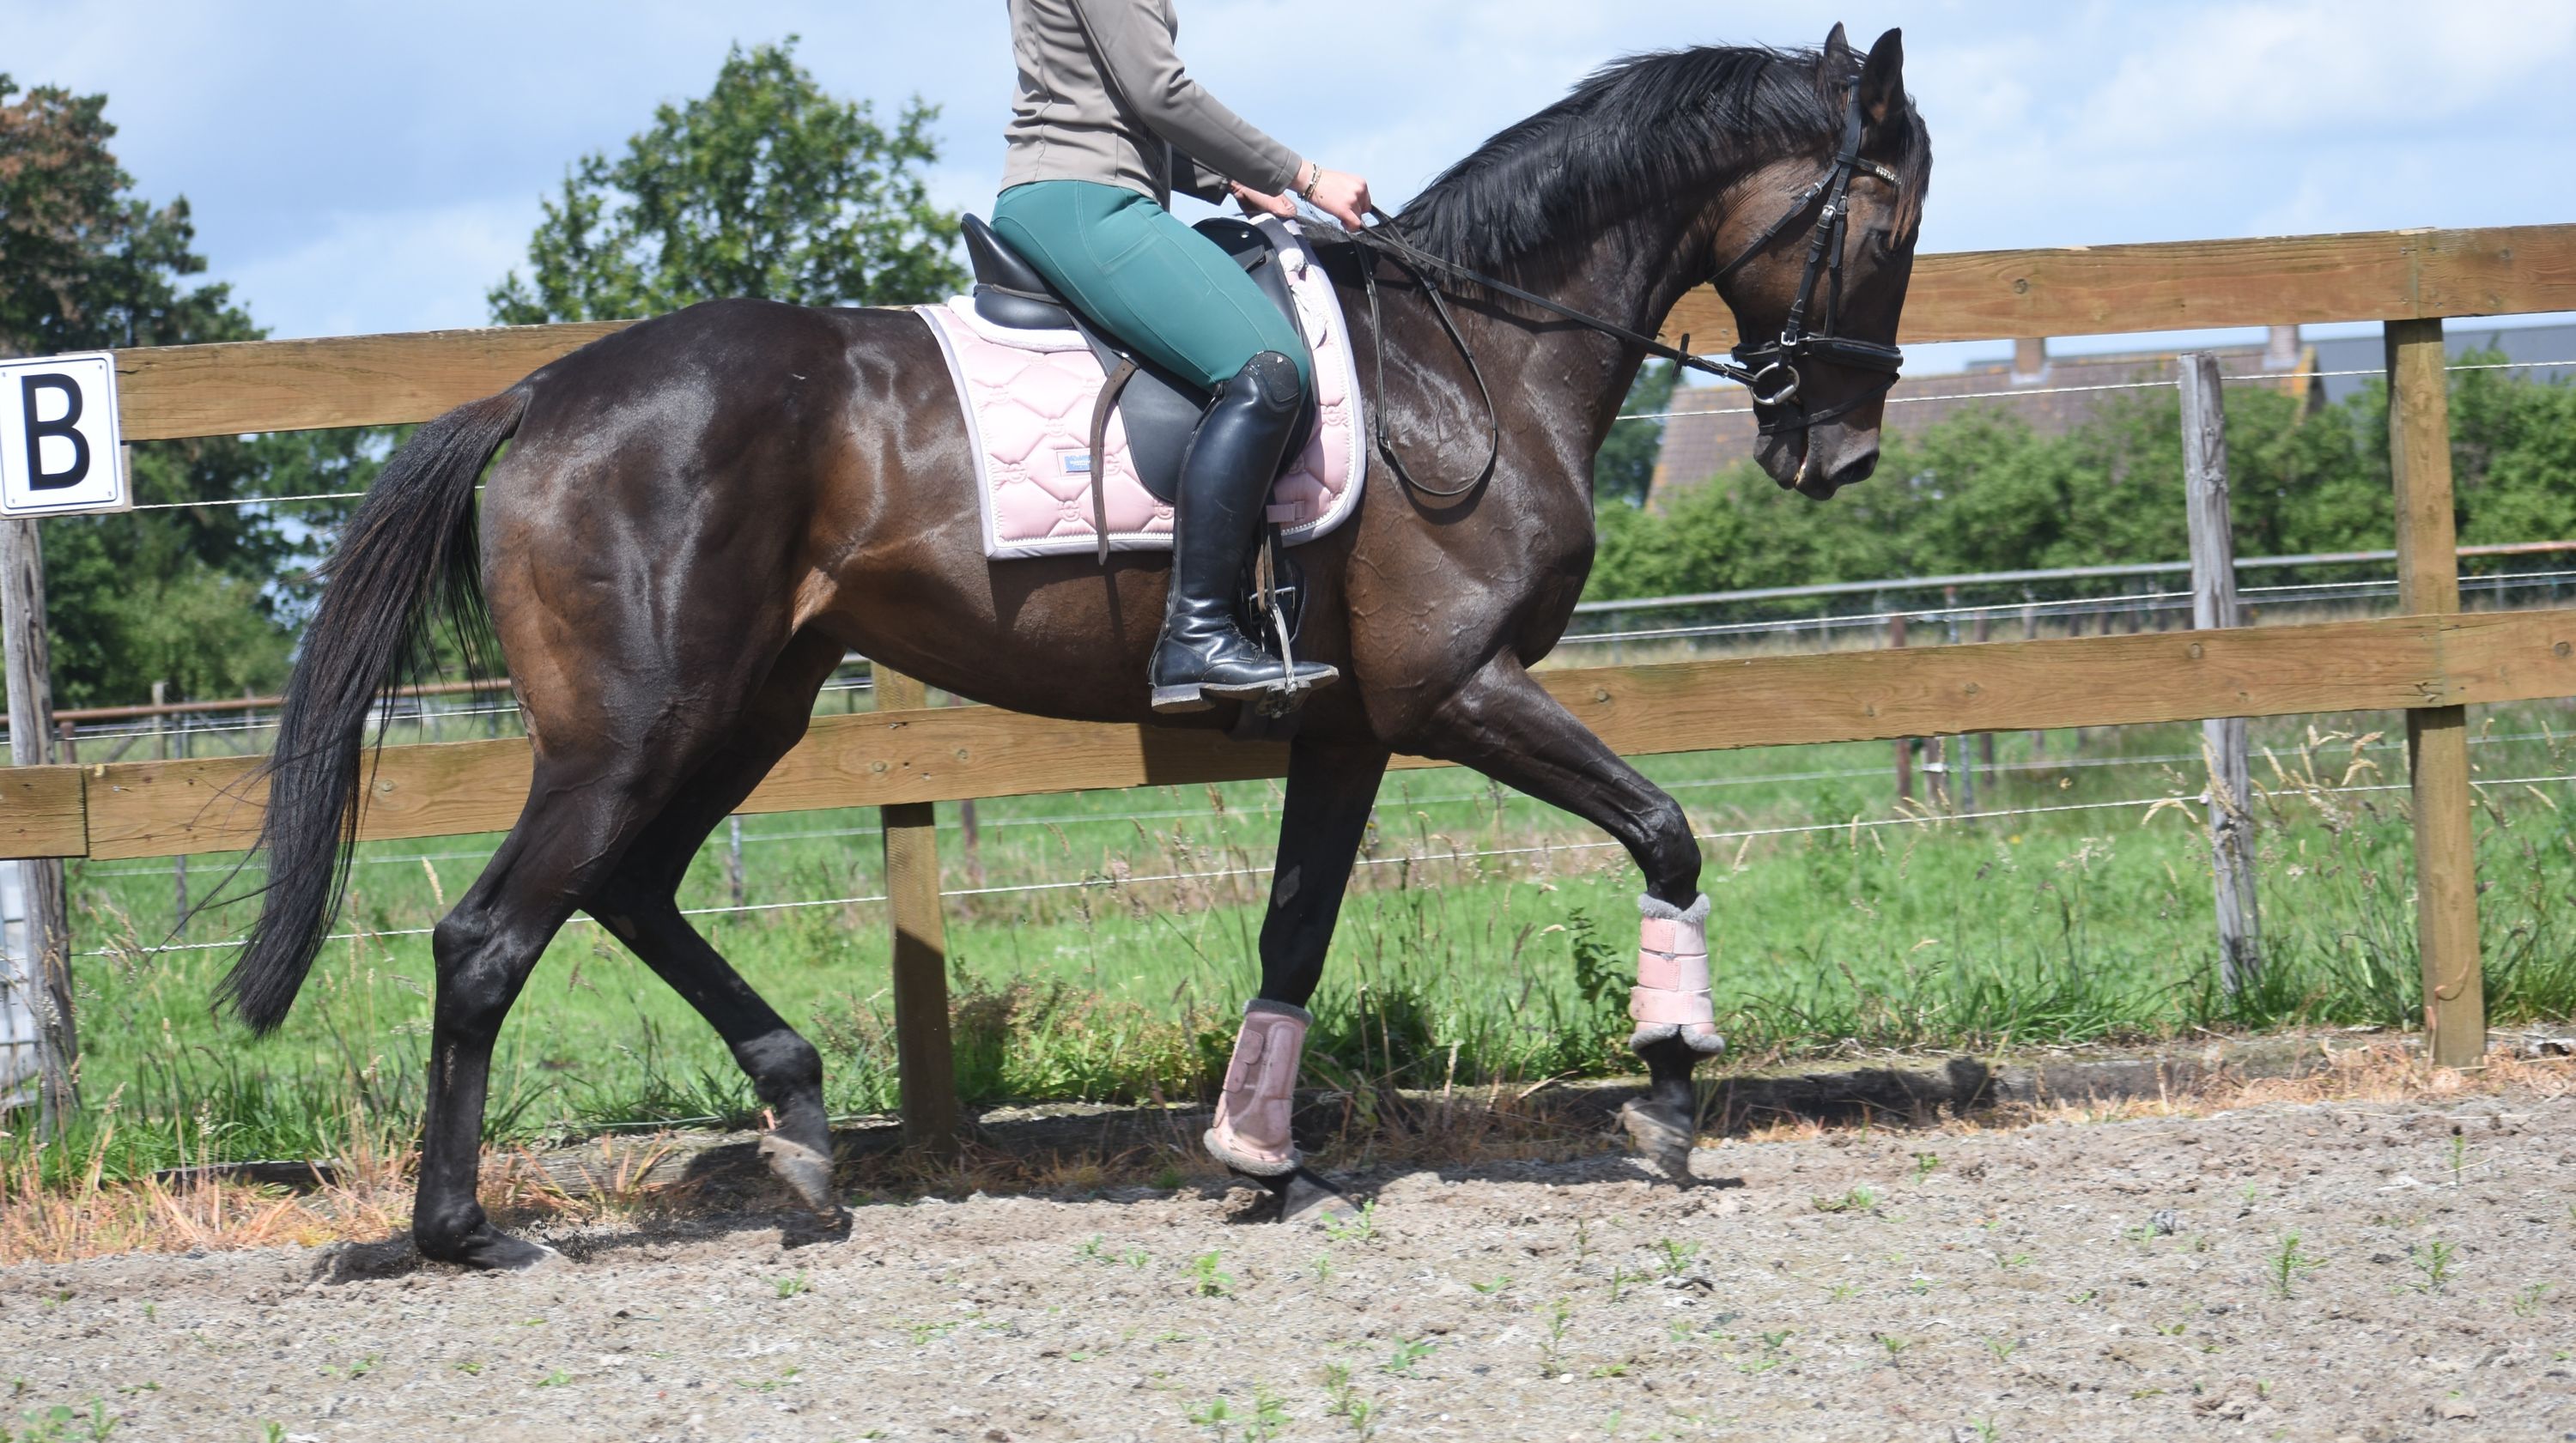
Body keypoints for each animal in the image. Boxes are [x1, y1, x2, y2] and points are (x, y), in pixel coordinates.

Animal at [221, 25, 1929, 1269]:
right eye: (1889, 218)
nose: (1838, 453)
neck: (1474, 363)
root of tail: (541, 397)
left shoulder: (1349, 725)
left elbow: (1294, 933)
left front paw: (1260, 1157)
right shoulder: (1456, 691)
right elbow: (1667, 828)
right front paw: (1668, 1098)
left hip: (749, 708)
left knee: (630, 891)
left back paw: (803, 1136)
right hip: (634, 725)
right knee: (491, 936)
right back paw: (462, 1231)